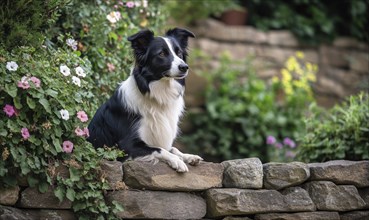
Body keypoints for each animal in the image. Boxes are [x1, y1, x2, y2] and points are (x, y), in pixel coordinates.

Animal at [87, 27, 201, 172]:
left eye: (179, 52)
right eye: (162, 53)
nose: (184, 67)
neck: (158, 94)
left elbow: (172, 148)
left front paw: (188, 156)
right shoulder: (127, 146)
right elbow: (159, 150)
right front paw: (177, 161)